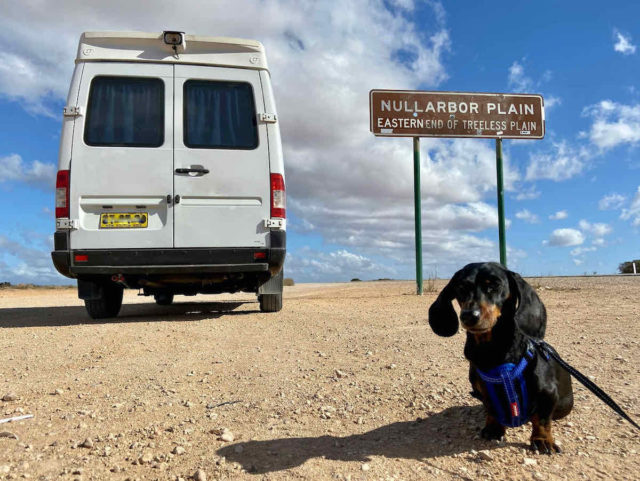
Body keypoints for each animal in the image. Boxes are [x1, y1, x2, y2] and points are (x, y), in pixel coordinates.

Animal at [428, 262, 572, 454]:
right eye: (461, 288)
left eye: (495, 286)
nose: (468, 316)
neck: (493, 351)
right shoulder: (485, 392)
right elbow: (492, 409)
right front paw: (494, 429)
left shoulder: (547, 393)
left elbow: (541, 419)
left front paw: (542, 439)